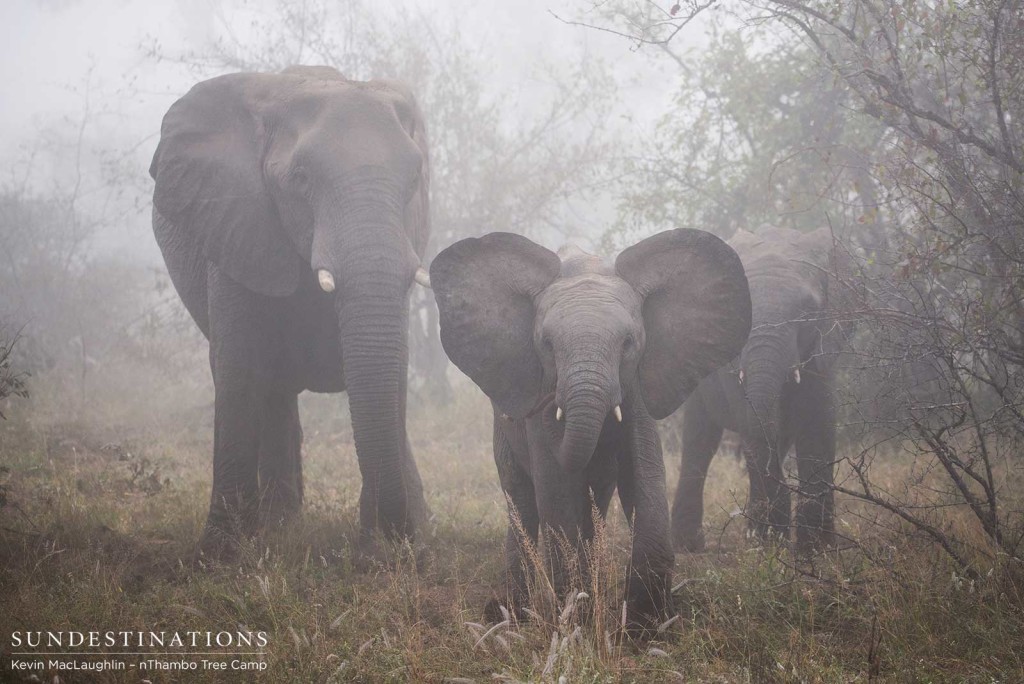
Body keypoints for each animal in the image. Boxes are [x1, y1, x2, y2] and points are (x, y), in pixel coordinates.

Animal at [149, 65, 432, 557]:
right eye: (300, 180)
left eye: (415, 179)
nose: (396, 536)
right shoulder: (238, 230)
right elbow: (239, 368)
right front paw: (220, 554)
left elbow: (393, 367)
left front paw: (384, 549)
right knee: (269, 386)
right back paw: (280, 525)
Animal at [428, 231, 749, 634]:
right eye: (546, 345)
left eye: (628, 343)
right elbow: (555, 487)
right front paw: (573, 623)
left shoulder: (637, 382)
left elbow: (643, 472)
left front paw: (647, 626)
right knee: (522, 501)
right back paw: (509, 615)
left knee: (594, 498)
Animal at [667, 227, 843, 552]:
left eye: (808, 312)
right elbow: (752, 427)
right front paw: (774, 540)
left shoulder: (823, 346)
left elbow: (818, 426)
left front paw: (817, 548)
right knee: (701, 440)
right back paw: (692, 546)